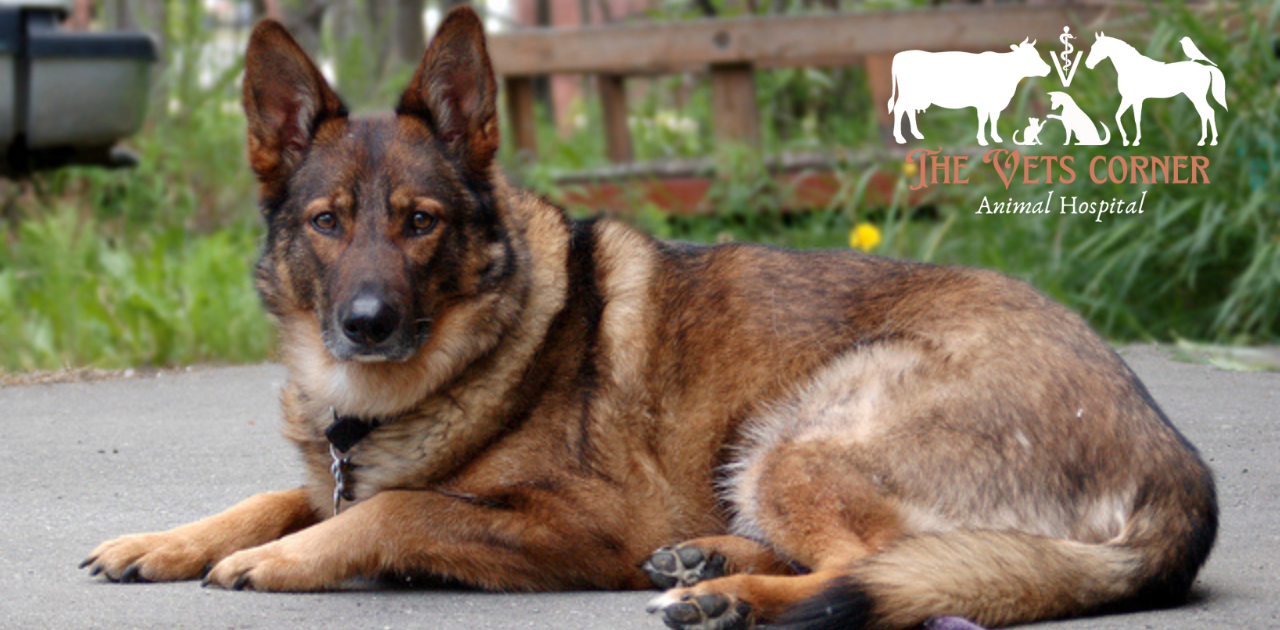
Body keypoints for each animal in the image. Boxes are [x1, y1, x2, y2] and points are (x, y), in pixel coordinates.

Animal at [85, 9, 1213, 630]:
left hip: (800, 435)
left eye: (419, 223)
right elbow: (287, 496)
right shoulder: (339, 466)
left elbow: (396, 510)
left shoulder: (585, 520)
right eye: (325, 222)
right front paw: (168, 540)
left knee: (880, 571)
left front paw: (285, 558)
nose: (364, 323)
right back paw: (708, 560)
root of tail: (1181, 476)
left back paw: (727, 598)